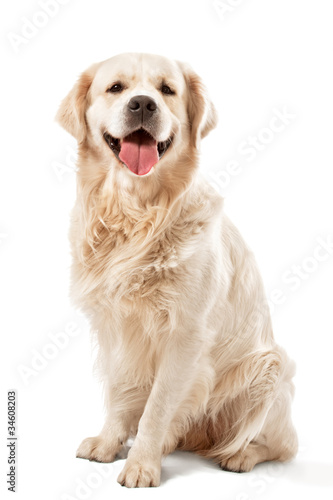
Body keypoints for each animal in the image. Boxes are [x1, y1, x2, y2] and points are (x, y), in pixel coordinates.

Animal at [55, 52, 296, 486]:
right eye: (116, 88)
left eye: (167, 90)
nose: (142, 104)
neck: (137, 214)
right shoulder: (116, 327)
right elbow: (121, 391)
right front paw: (108, 443)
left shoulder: (185, 335)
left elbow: (156, 408)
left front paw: (141, 465)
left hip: (272, 365)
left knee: (280, 445)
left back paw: (240, 455)